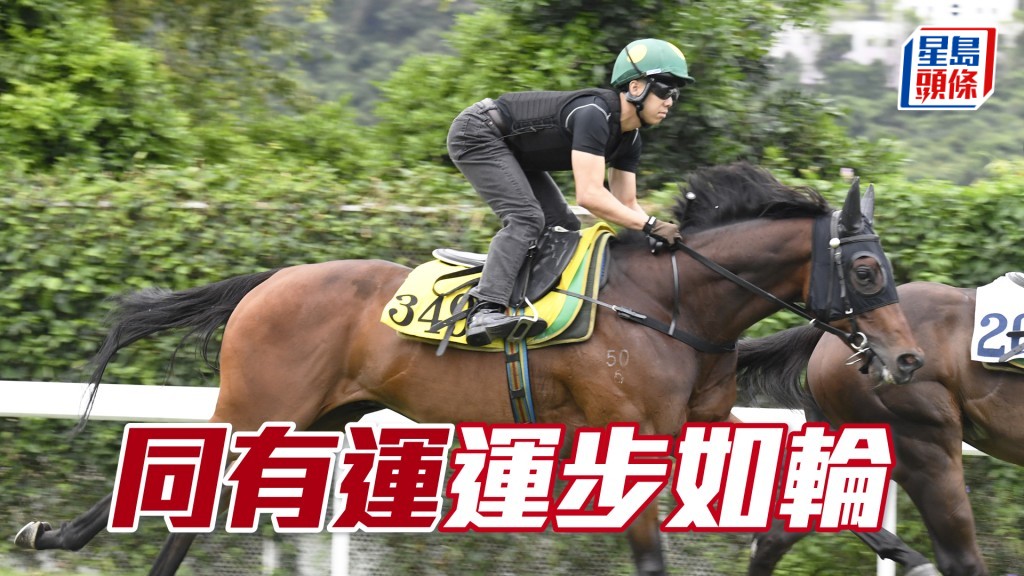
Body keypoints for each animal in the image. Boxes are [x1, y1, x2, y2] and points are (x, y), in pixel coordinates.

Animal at [14, 162, 925, 576]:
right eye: (867, 271)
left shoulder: (702, 428)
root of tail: (268, 281)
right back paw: (57, 537)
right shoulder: (626, 442)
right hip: (260, 405)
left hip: (317, 416)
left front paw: (902, 550)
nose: (908, 356)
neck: (674, 305)